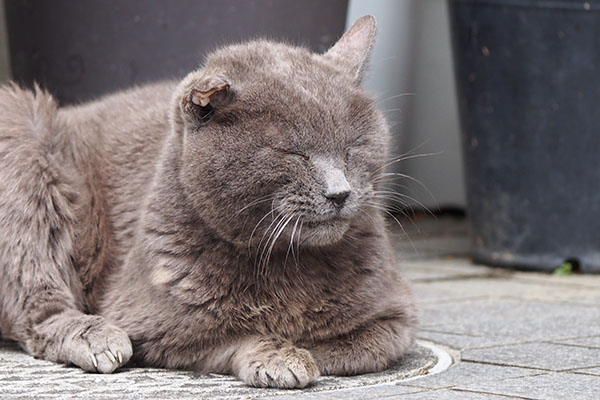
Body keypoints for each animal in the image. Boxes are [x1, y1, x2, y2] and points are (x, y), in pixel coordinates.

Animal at [0, 15, 418, 388]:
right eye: (292, 153)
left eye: (353, 148)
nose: (340, 192)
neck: (287, 263)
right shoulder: (155, 321)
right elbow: (231, 336)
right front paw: (280, 356)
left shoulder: (396, 319)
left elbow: (357, 345)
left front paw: (305, 347)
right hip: (22, 138)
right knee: (36, 304)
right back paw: (95, 337)